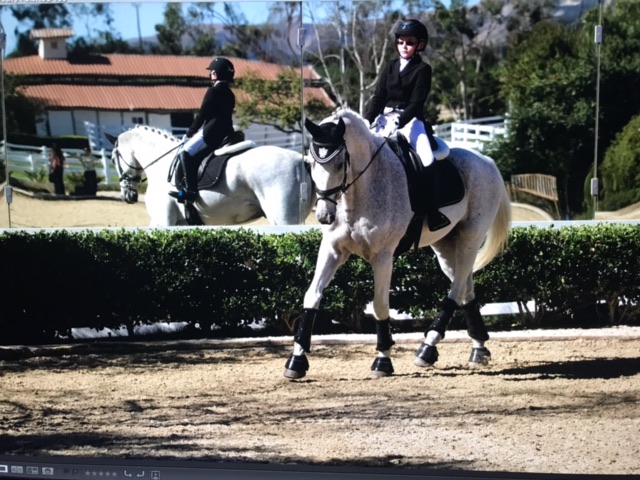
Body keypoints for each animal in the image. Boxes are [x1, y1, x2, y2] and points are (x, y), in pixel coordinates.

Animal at [284, 109, 510, 378]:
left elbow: (380, 306)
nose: (324, 216)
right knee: (465, 287)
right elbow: (311, 296)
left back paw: (427, 348)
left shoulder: (383, 257)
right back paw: (478, 348)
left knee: (456, 290)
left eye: (339, 164)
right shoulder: (332, 250)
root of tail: (486, 161)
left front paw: (382, 361)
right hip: (445, 245)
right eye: (310, 164)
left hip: (470, 237)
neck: (359, 191)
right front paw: (296, 360)